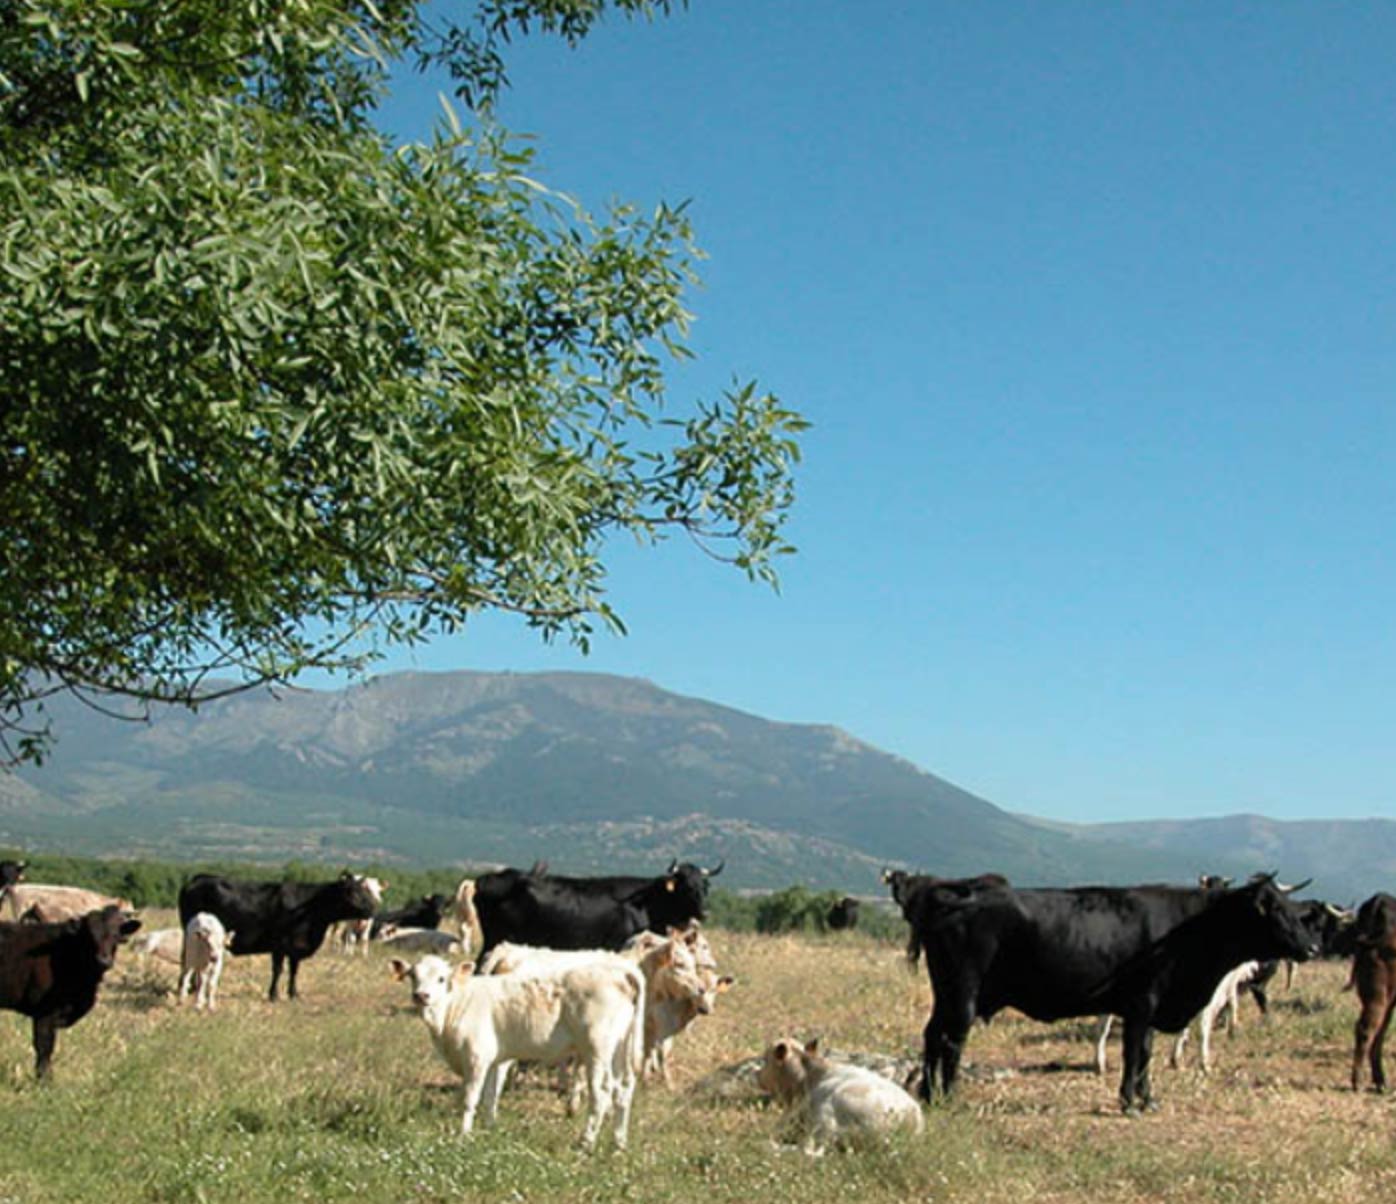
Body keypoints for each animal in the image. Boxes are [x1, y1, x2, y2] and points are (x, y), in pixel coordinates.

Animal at [0, 905, 141, 1083]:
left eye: (116, 934)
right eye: (89, 936)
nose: (103, 960)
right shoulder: (44, 1012)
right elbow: (44, 1047)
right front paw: (44, 1080)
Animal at [177, 871, 379, 1005]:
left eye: (365, 890)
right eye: (352, 892)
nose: (372, 908)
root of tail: (197, 878)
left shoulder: (296, 948)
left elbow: (294, 971)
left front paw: (293, 994)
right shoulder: (279, 946)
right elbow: (278, 970)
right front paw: (273, 995)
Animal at [893, 871, 1317, 1117]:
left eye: (1294, 908)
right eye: (1274, 909)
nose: (1312, 947)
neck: (1189, 930)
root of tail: (958, 897)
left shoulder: (1148, 1010)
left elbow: (1143, 1054)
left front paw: (1147, 1100)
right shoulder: (1141, 1005)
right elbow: (1134, 1055)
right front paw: (1130, 1103)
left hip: (948, 994)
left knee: (933, 1035)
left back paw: (930, 1094)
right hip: (962, 993)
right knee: (951, 1040)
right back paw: (948, 1097)